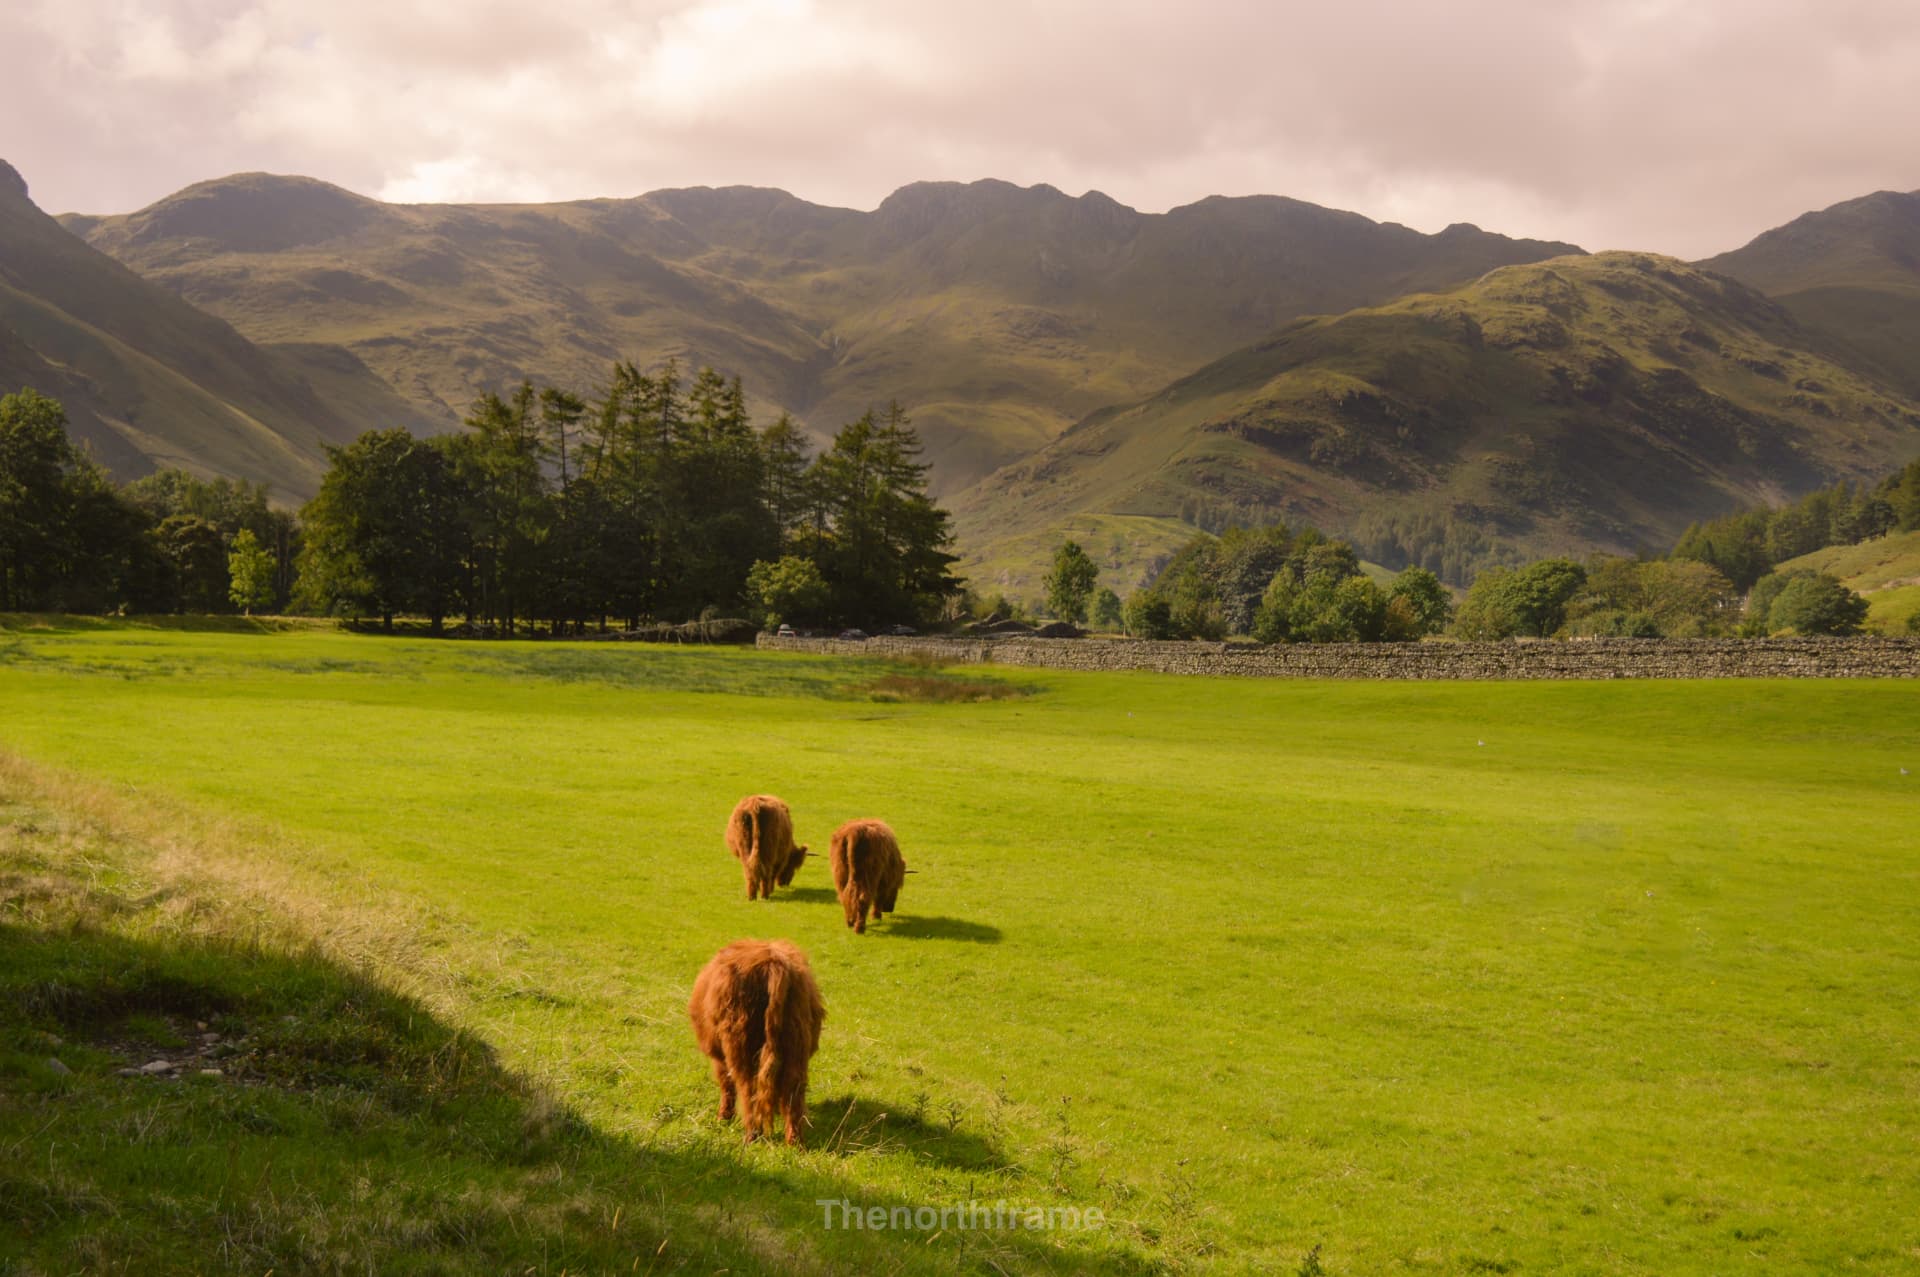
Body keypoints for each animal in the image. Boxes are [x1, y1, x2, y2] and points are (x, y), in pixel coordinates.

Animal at [687, 939, 826, 1145]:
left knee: (748, 1089)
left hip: (740, 1048)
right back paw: (794, 1141)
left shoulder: (719, 1058)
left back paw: (751, 1136)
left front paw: (723, 1117)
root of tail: (773, 964)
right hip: (796, 1044)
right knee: (792, 1090)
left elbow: (726, 1085)